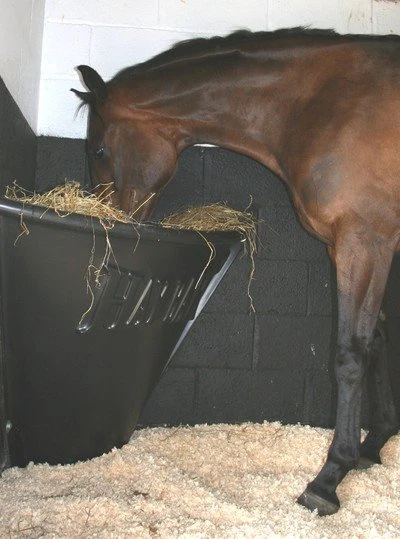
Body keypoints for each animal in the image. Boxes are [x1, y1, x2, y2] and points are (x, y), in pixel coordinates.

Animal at [72, 28, 400, 516]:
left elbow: (350, 354)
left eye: (98, 149)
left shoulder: (365, 241)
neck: (322, 105)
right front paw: (374, 443)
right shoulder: (355, 245)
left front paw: (328, 478)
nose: (113, 222)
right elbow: (377, 340)